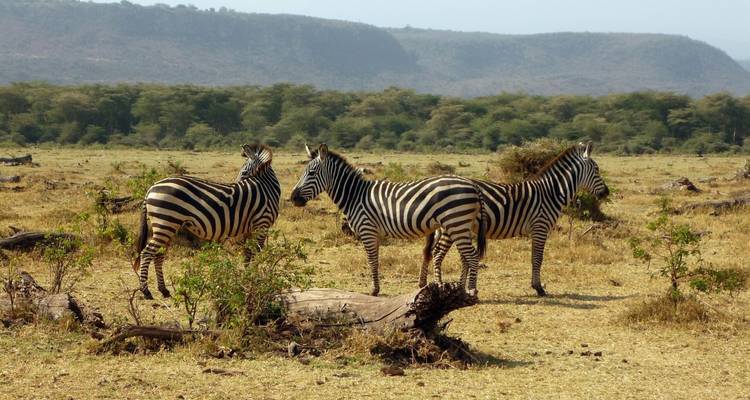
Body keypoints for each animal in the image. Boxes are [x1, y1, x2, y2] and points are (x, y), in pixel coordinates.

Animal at [132, 144, 281, 299]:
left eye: (244, 172)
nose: (236, 183)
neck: (266, 188)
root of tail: (151, 187)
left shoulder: (250, 229)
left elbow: (248, 254)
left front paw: (247, 278)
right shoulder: (262, 224)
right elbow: (256, 253)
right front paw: (256, 279)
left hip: (167, 225)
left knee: (159, 255)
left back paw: (164, 290)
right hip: (165, 223)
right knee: (147, 253)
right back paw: (146, 291)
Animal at [290, 144, 487, 296]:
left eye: (312, 173)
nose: (293, 198)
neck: (355, 195)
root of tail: (473, 185)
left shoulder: (367, 230)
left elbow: (371, 260)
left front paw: (374, 290)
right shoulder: (374, 233)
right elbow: (375, 260)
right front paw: (376, 288)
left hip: (456, 223)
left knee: (472, 255)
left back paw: (472, 290)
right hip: (461, 225)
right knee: (466, 256)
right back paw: (461, 288)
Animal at [421, 142, 609, 297]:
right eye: (597, 169)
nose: (606, 193)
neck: (550, 193)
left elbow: (535, 256)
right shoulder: (540, 226)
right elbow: (537, 258)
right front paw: (538, 288)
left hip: (452, 227)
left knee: (438, 253)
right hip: (453, 225)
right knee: (438, 253)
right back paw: (440, 286)